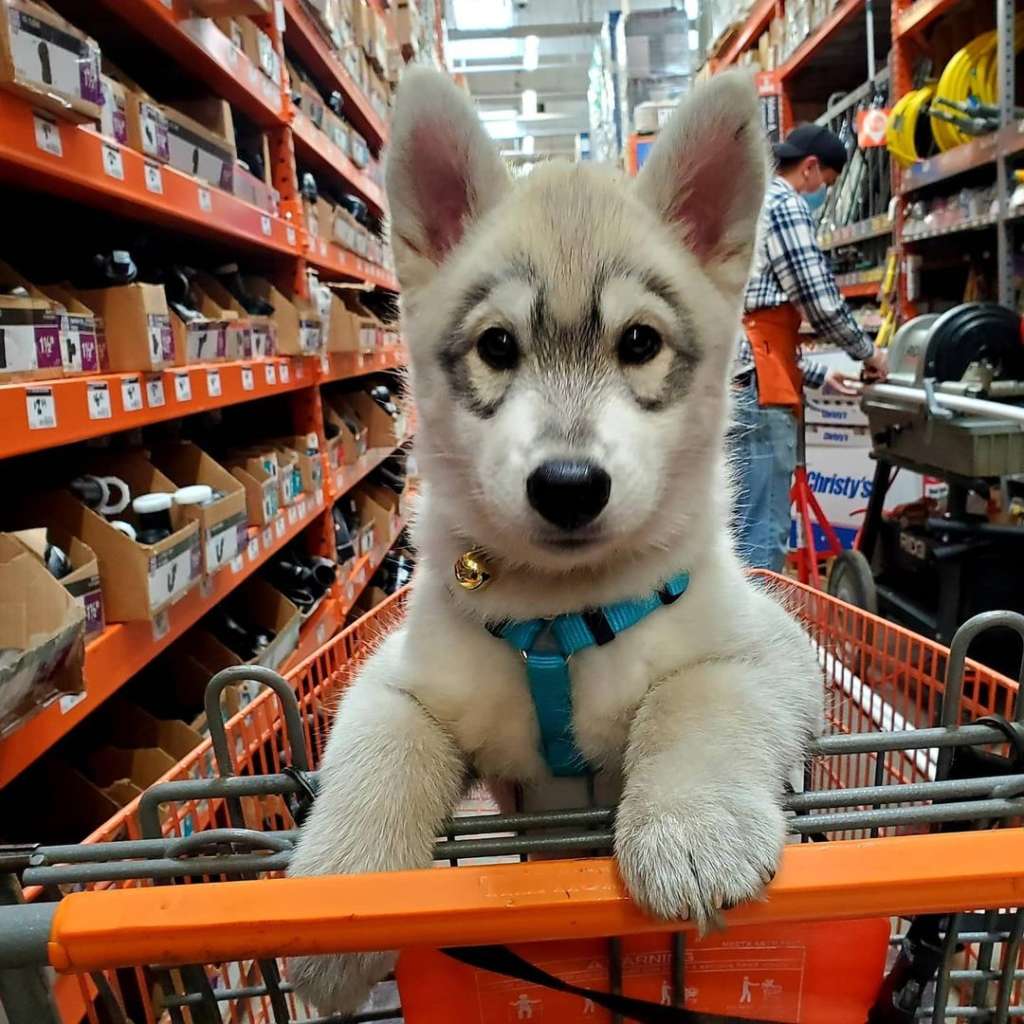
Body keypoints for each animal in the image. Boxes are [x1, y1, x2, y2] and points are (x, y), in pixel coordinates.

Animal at [288, 68, 823, 1011]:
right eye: (498, 346)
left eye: (639, 341)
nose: (569, 486)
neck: (560, 622)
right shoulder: (397, 680)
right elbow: (379, 756)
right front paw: (345, 895)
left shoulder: (771, 652)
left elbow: (696, 698)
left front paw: (692, 828)